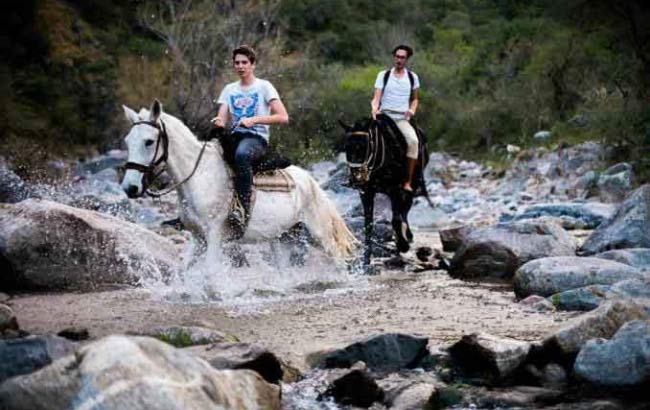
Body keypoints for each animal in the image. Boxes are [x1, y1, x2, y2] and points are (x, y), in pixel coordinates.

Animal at [119, 99, 356, 260]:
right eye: (128, 140)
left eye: (149, 141)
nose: (130, 187)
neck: (199, 177)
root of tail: (310, 181)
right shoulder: (198, 238)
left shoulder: (214, 236)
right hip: (283, 238)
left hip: (320, 235)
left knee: (338, 260)